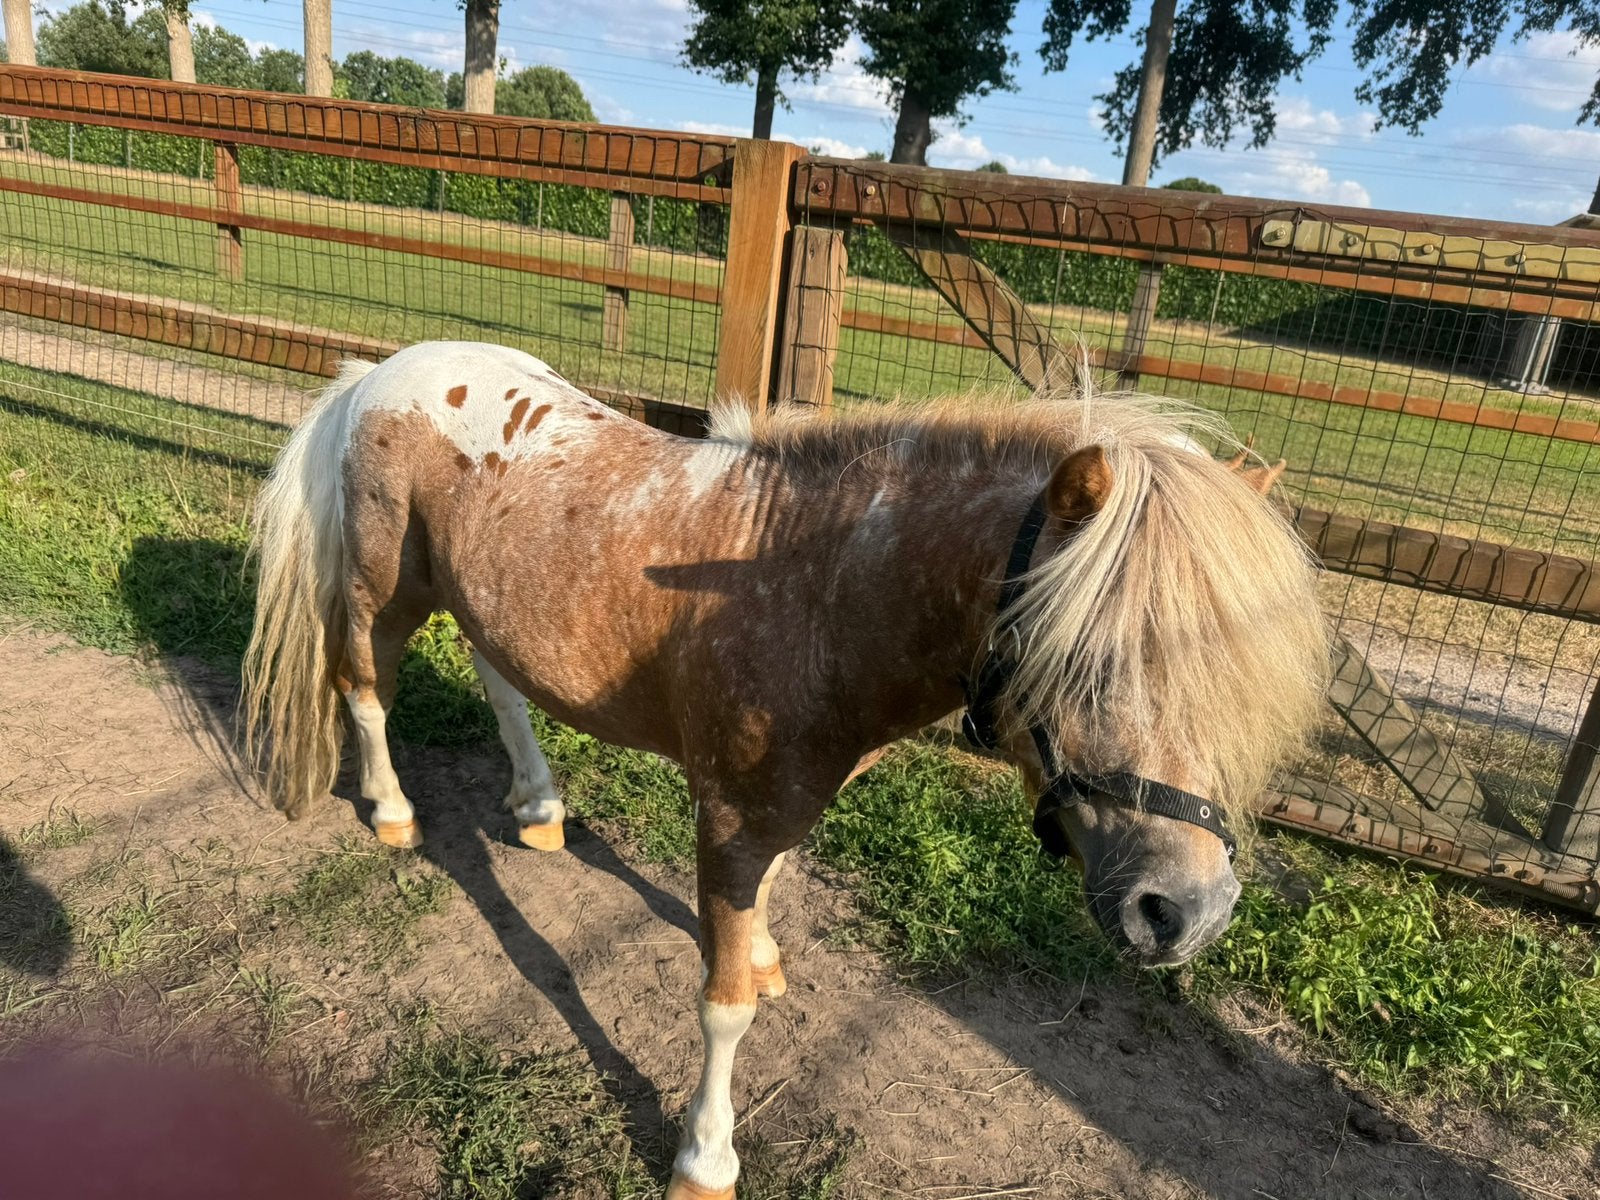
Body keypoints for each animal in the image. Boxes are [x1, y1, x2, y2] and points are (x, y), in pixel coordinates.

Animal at [241, 340, 1329, 1200]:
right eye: (1086, 661)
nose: (1186, 911)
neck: (820, 590)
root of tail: (381, 369)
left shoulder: (770, 812)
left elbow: (761, 904)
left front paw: (763, 958)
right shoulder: (726, 815)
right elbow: (719, 1008)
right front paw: (705, 1160)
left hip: (480, 598)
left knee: (497, 679)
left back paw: (539, 804)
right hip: (386, 587)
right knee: (364, 687)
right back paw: (392, 812)